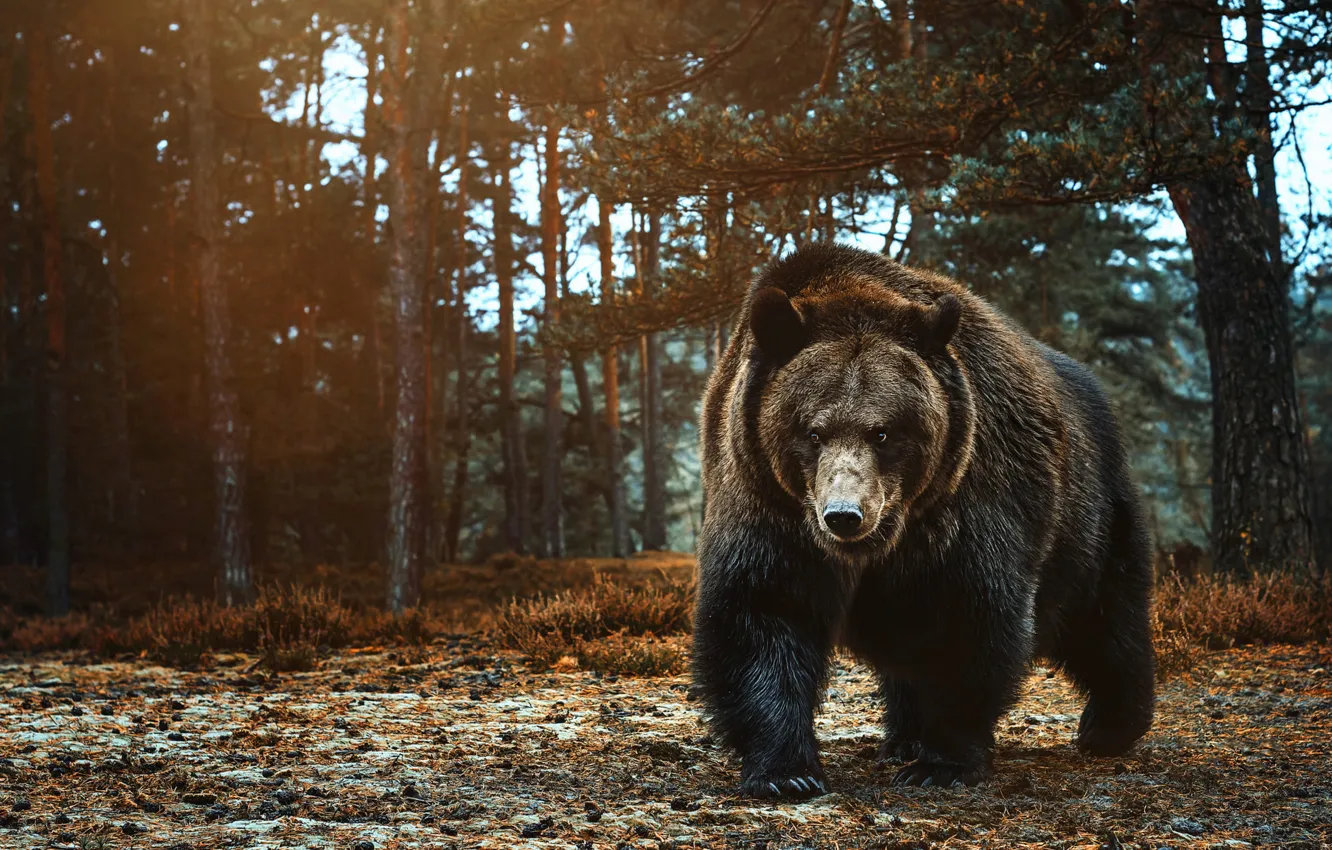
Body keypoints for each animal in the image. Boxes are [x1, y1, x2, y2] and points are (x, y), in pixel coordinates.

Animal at [692, 243, 1155, 799]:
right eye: (812, 431)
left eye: (884, 431)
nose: (844, 516)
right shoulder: (768, 503)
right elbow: (762, 615)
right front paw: (787, 771)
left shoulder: (968, 501)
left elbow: (965, 619)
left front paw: (942, 763)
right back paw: (904, 738)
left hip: (1089, 517)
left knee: (1105, 617)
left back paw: (1110, 725)